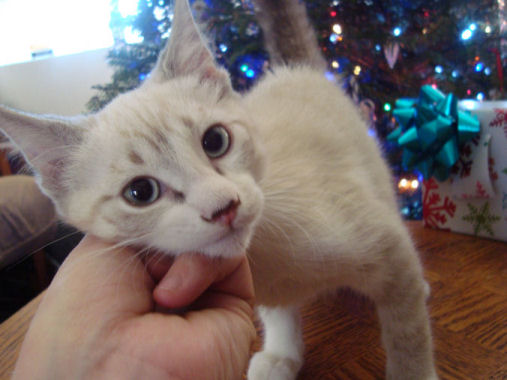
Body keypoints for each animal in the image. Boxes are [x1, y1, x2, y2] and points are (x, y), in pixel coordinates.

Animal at [0, 0, 436, 380]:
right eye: (140, 192)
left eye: (216, 141)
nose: (224, 207)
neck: (267, 261)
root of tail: (299, 69)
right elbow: (278, 312)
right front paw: (282, 354)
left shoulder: (388, 249)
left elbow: (408, 331)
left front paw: (412, 370)